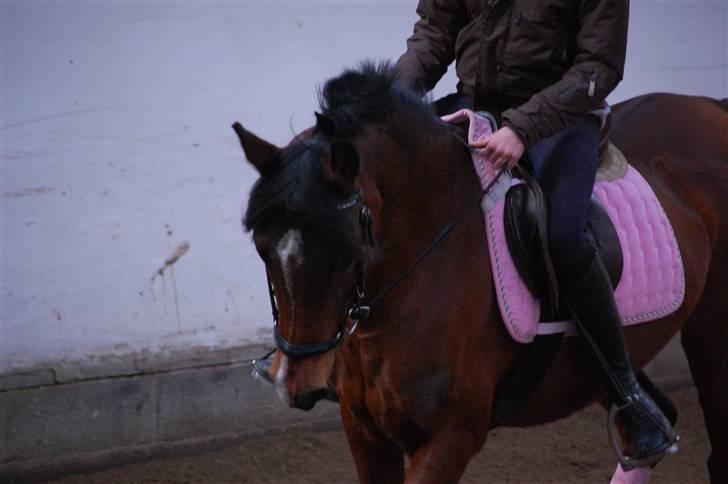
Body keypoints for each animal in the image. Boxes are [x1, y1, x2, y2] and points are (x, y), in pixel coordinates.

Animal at [236, 65, 728, 484]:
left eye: (346, 254)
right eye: (262, 249)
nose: (294, 384)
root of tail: (711, 106)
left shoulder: (451, 437)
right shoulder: (365, 432)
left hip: (710, 333)